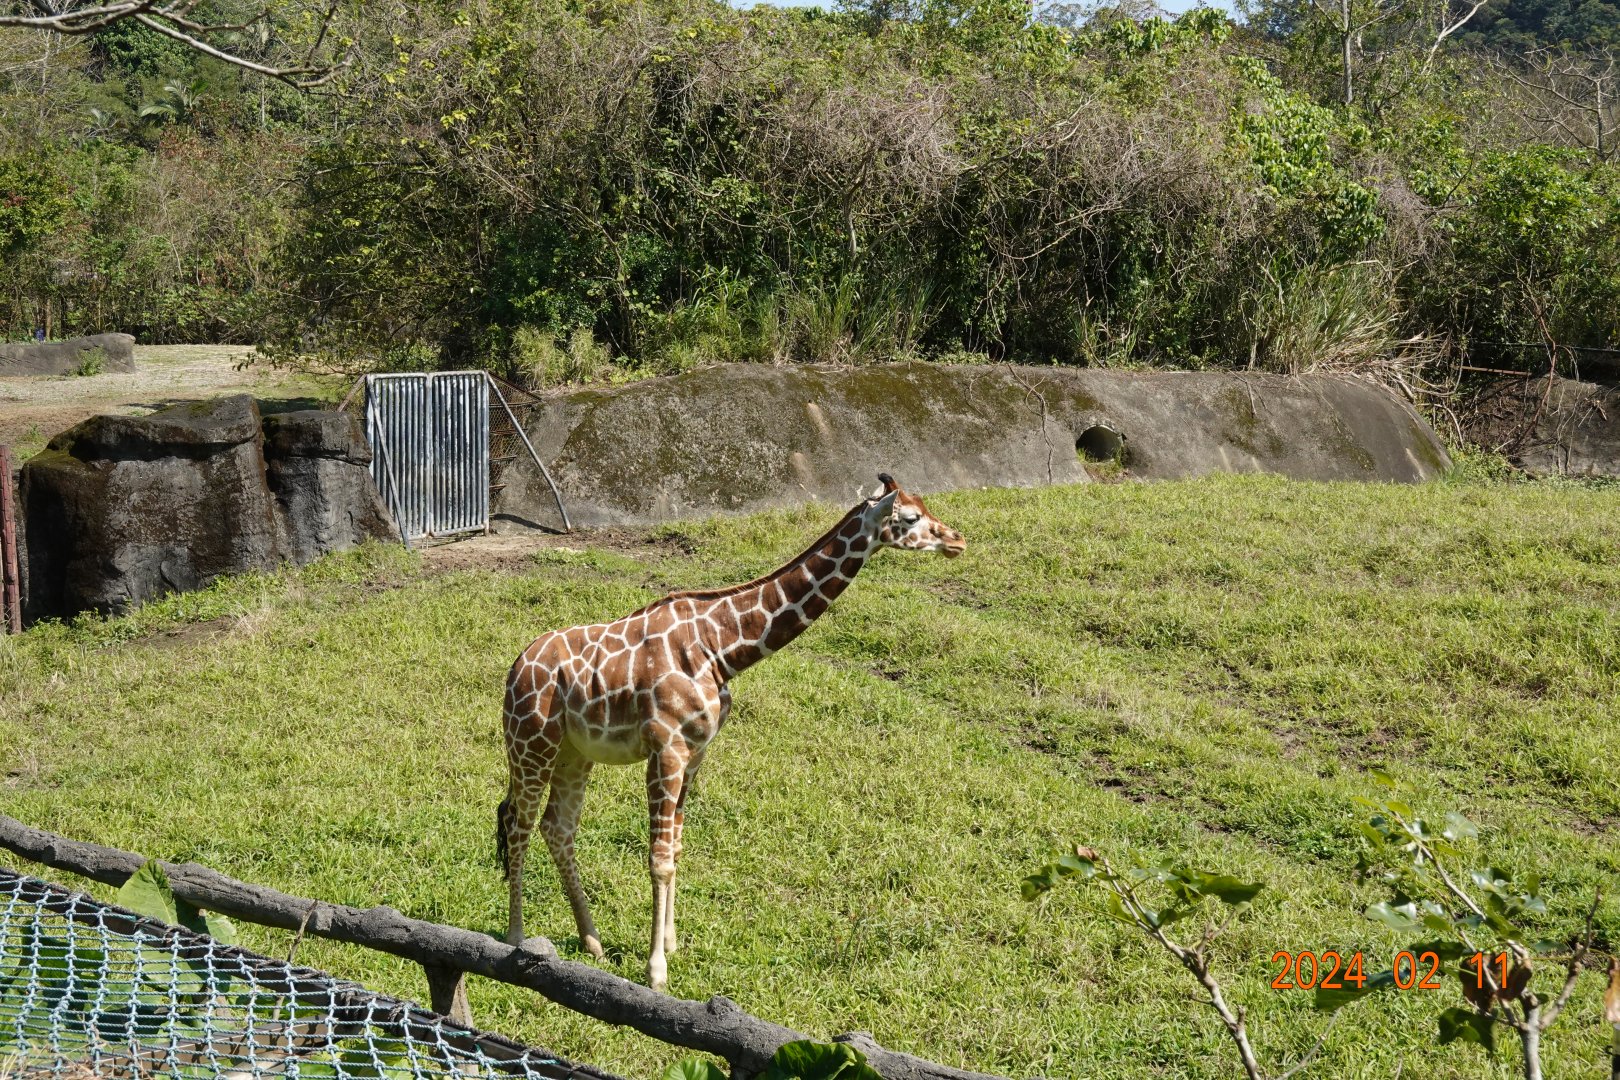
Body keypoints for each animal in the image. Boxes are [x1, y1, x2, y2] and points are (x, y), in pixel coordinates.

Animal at [497, 473, 965, 991]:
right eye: (911, 517)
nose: (957, 541)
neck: (721, 649)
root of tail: (515, 668)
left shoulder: (695, 753)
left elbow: (677, 847)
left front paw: (671, 944)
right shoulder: (666, 749)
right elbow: (659, 858)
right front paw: (655, 971)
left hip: (573, 753)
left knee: (557, 828)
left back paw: (592, 941)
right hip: (531, 743)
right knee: (518, 824)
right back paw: (516, 936)